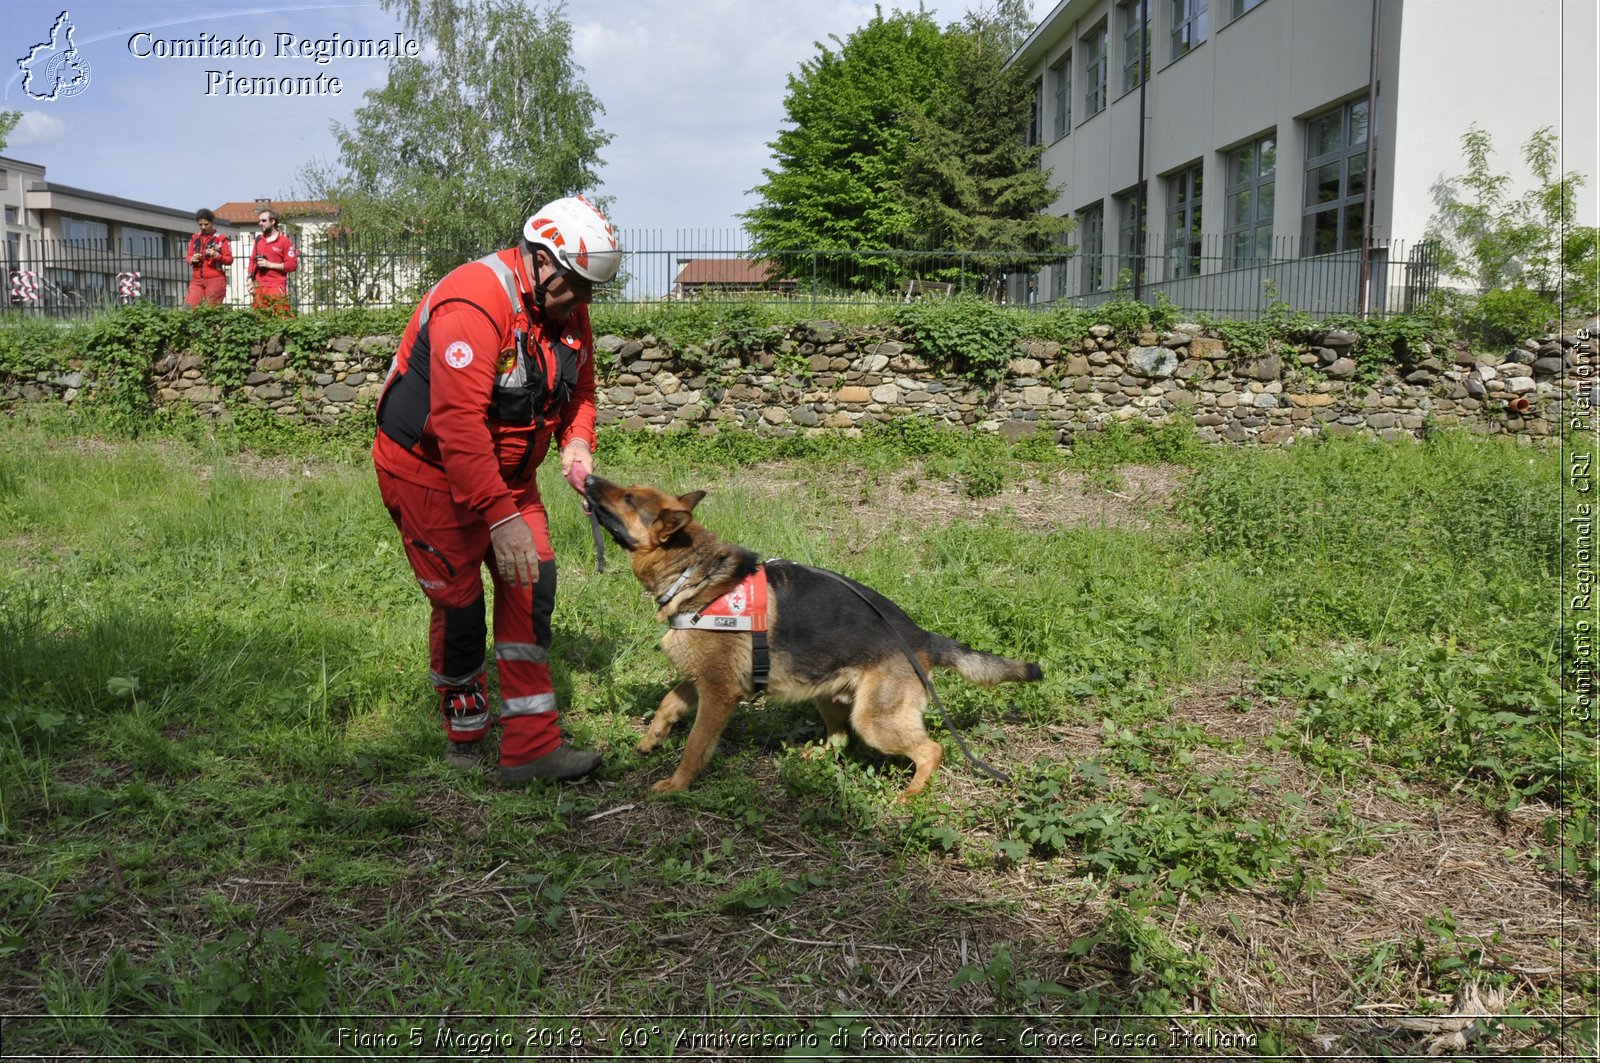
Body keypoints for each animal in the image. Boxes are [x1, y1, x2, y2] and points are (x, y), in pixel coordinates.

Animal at [582, 473, 1043, 797]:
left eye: (628, 498)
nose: (586, 479)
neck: (694, 571)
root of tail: (921, 637)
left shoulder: (719, 693)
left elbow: (696, 745)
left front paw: (677, 785)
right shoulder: (701, 681)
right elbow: (667, 704)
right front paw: (650, 740)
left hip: (874, 720)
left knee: (931, 749)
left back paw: (910, 794)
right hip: (829, 696)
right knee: (839, 741)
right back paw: (812, 756)